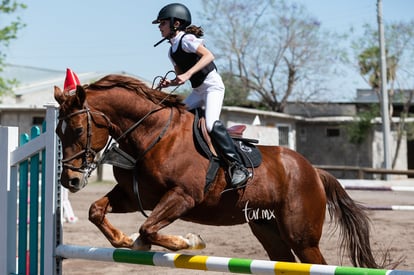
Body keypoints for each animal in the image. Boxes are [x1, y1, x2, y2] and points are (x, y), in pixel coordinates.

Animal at [55, 74, 382, 268]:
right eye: (57, 132)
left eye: (78, 129)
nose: (69, 180)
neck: (150, 135)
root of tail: (314, 170)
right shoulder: (137, 196)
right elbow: (96, 211)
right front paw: (125, 241)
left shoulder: (183, 196)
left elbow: (148, 228)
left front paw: (188, 241)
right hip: (268, 230)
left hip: (302, 236)